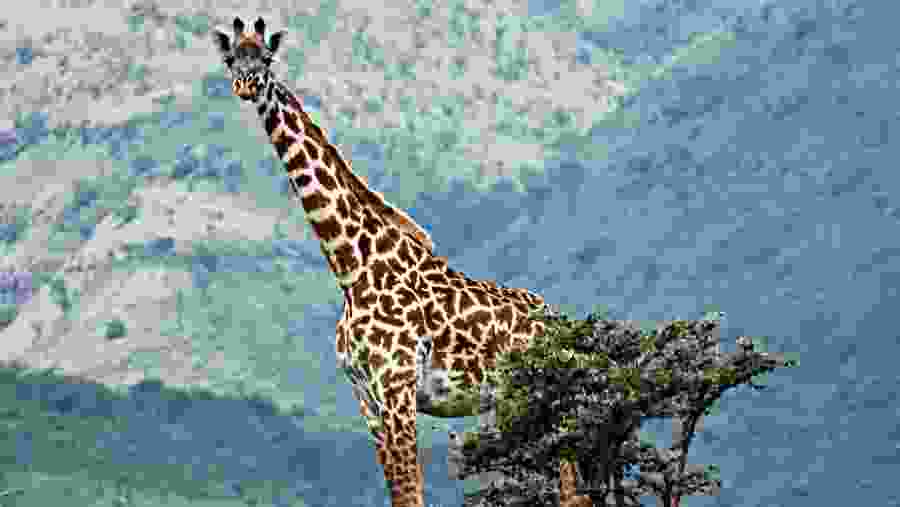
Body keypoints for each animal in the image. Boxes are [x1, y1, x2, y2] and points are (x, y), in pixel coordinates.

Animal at [212, 17, 594, 507]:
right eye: (230, 60)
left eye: (266, 59)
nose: (244, 86)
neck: (352, 268)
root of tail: (563, 327)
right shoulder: (366, 398)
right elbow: (399, 493)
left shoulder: (397, 386)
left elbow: (412, 494)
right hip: (511, 406)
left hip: (548, 404)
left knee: (573, 492)